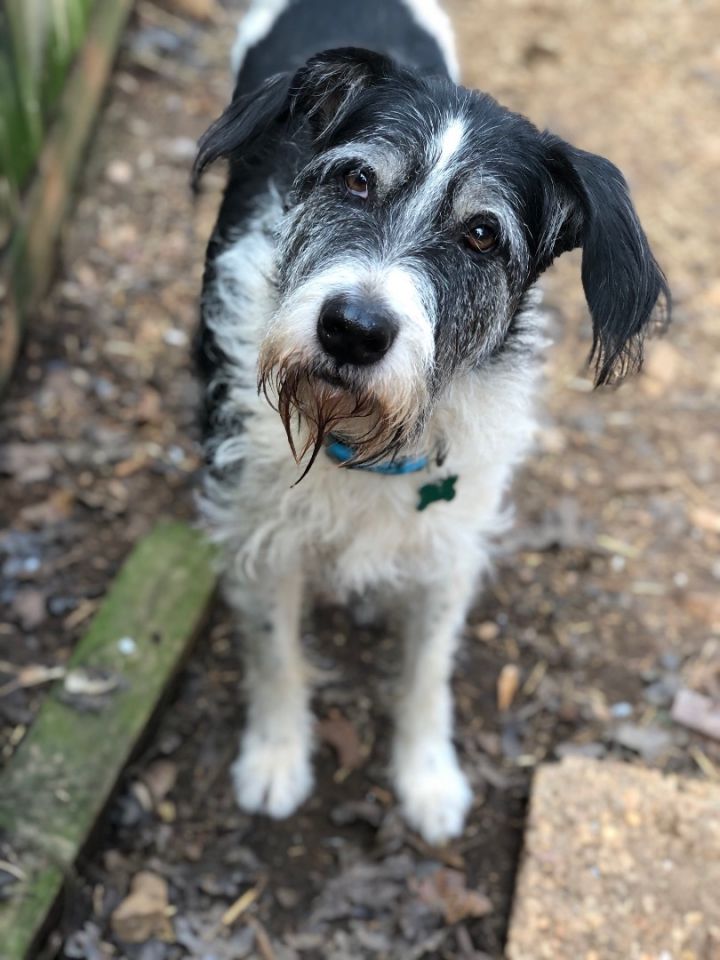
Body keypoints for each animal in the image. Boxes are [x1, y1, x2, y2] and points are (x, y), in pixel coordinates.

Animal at [193, 0, 668, 840]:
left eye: (482, 233)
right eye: (356, 180)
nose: (352, 329)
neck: (361, 436)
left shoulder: (449, 546)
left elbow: (427, 671)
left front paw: (427, 777)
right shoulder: (260, 530)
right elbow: (274, 649)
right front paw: (276, 758)